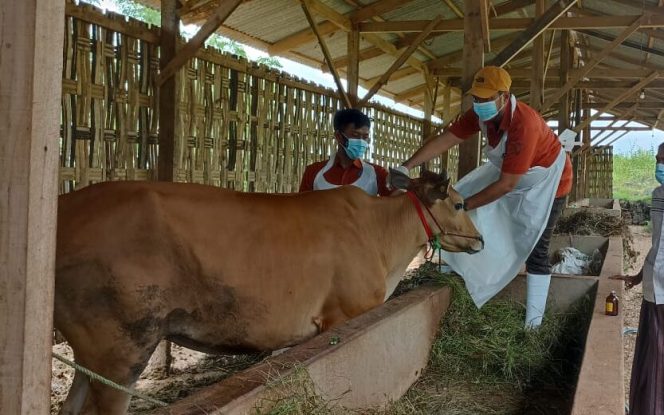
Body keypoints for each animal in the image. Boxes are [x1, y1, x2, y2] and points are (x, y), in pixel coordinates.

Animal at [54, 171, 480, 414]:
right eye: (460, 203)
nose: (480, 240)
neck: (380, 234)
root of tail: (64, 205)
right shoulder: (341, 316)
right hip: (123, 347)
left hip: (95, 354)